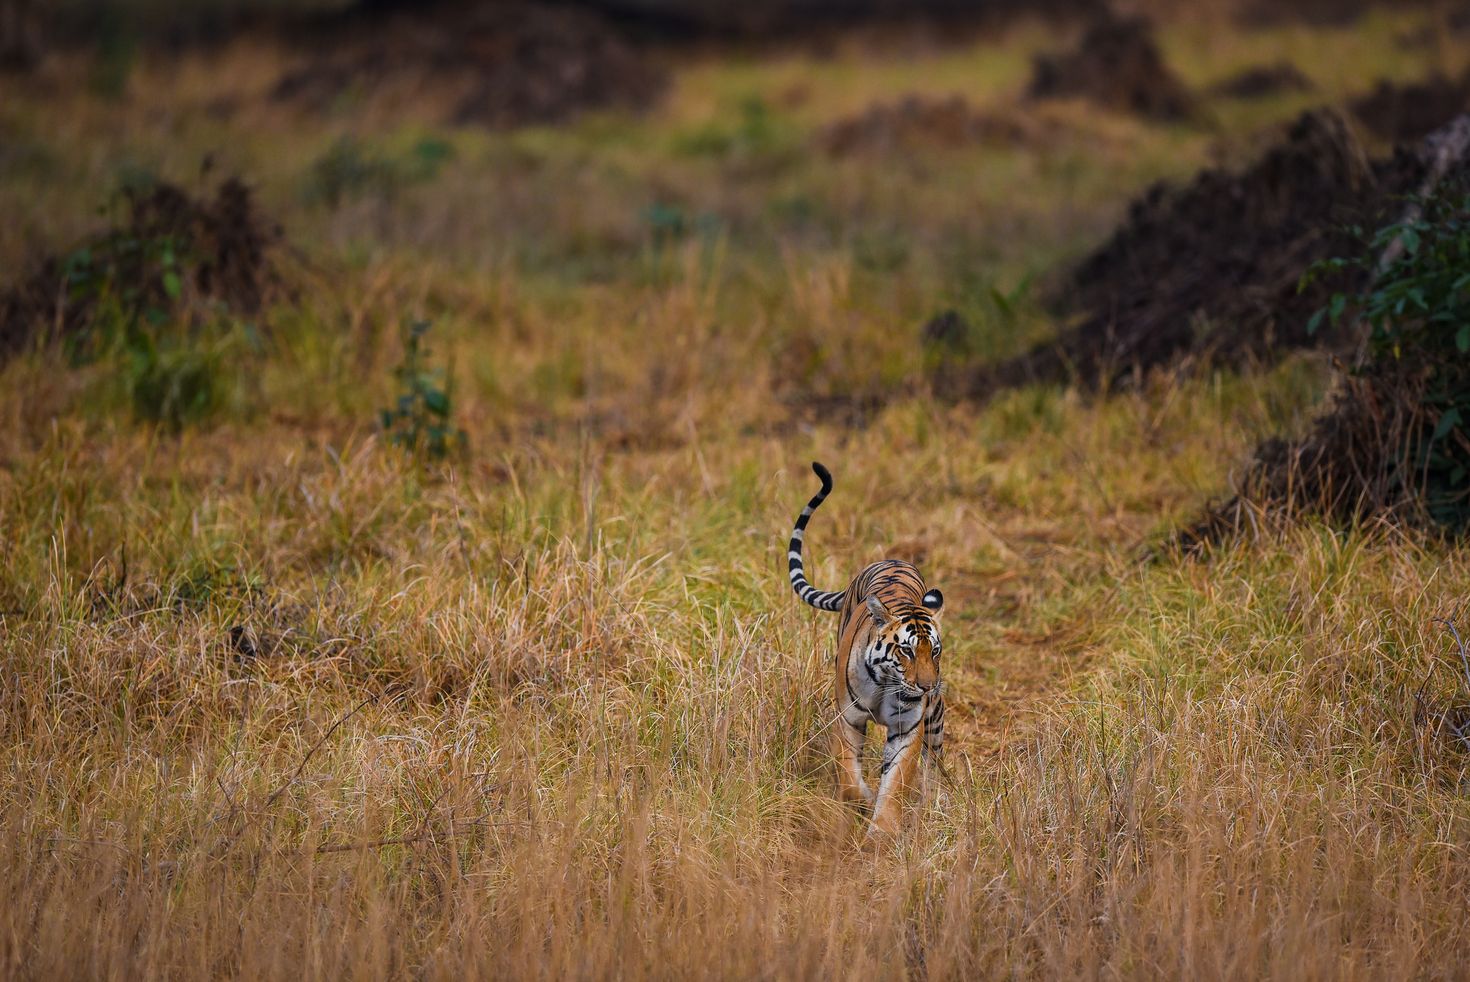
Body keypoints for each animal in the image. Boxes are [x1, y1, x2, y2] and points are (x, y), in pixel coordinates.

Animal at [787, 461, 946, 839]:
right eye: (906, 651)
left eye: (934, 652)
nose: (926, 687)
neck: (886, 682)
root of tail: (893, 559)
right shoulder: (849, 718)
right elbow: (848, 777)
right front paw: (864, 801)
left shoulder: (908, 728)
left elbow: (897, 781)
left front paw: (882, 833)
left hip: (935, 717)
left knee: (934, 760)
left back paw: (932, 803)